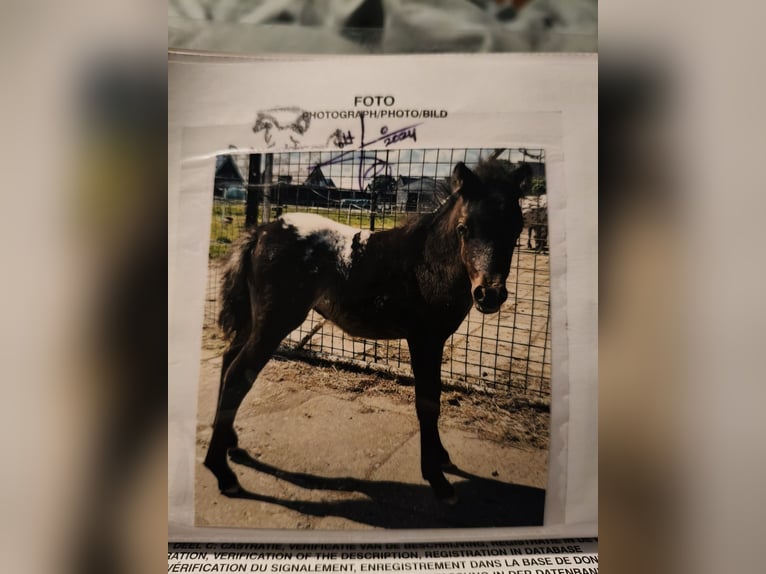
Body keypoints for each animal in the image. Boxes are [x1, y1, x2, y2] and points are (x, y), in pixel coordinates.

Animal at [204, 160, 531, 503]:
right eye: (464, 228)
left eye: (516, 228)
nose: (489, 294)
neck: (428, 260)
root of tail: (261, 231)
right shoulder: (423, 340)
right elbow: (427, 403)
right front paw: (437, 479)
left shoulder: (436, 342)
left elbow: (436, 397)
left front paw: (441, 457)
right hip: (275, 322)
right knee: (238, 374)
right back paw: (223, 473)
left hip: (256, 320)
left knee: (228, 359)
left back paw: (229, 442)